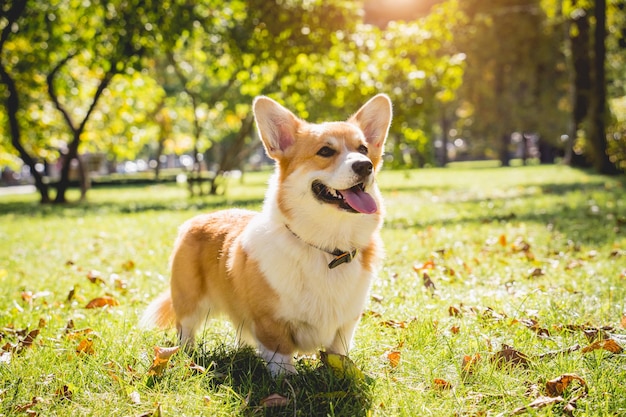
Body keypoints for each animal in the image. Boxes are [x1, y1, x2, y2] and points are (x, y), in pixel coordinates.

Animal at [143, 93, 390, 374]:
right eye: (325, 151)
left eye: (363, 149)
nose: (365, 166)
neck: (327, 248)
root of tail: (198, 218)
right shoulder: (270, 321)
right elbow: (280, 355)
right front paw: (287, 378)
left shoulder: (345, 325)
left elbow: (338, 353)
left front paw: (340, 371)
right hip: (189, 302)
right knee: (185, 330)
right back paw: (188, 355)